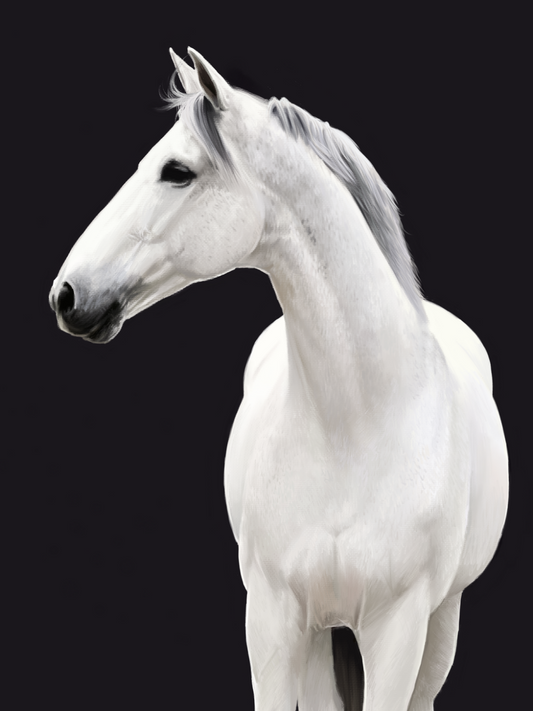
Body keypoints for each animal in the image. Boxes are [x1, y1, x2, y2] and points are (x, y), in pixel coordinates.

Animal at [49, 47, 508, 711]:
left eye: (177, 172)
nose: (66, 295)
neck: (355, 428)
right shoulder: (273, 622)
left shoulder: (399, 629)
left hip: (440, 623)